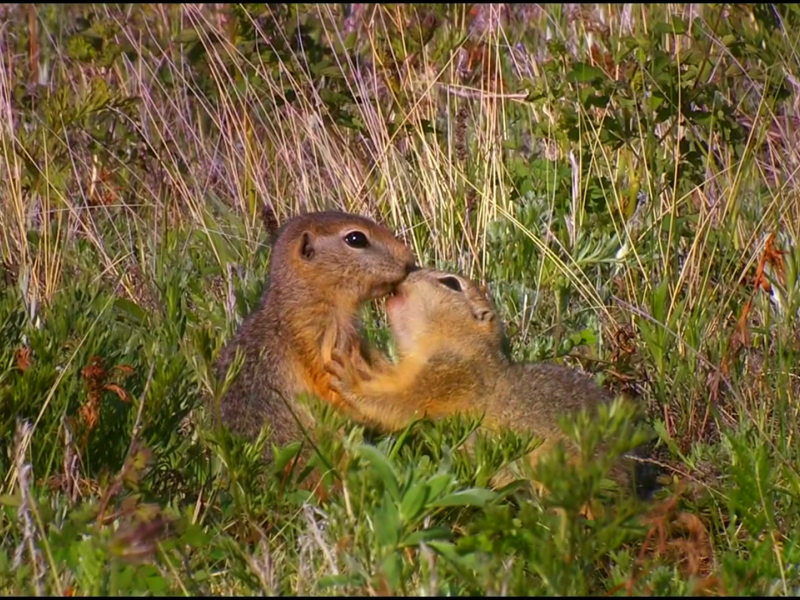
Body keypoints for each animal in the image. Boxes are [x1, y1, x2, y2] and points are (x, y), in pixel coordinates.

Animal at [324, 268, 636, 492]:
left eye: (451, 282)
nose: (407, 270)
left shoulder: (449, 375)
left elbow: (402, 403)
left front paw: (346, 376)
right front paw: (357, 356)